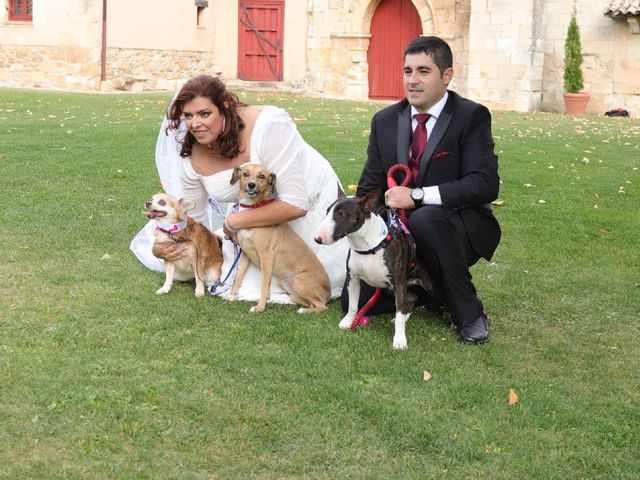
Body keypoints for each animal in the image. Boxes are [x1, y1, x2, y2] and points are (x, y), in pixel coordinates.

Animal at [228, 164, 330, 316]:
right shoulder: (246, 253)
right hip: (287, 284)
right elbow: (239, 276)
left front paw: (260, 307)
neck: (252, 208)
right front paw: (233, 295)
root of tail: (329, 293)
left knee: (322, 306)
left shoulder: (266, 255)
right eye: (245, 174)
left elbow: (264, 285)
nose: (251, 185)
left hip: (299, 281)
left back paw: (303, 310)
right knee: (309, 302)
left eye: (262, 176)